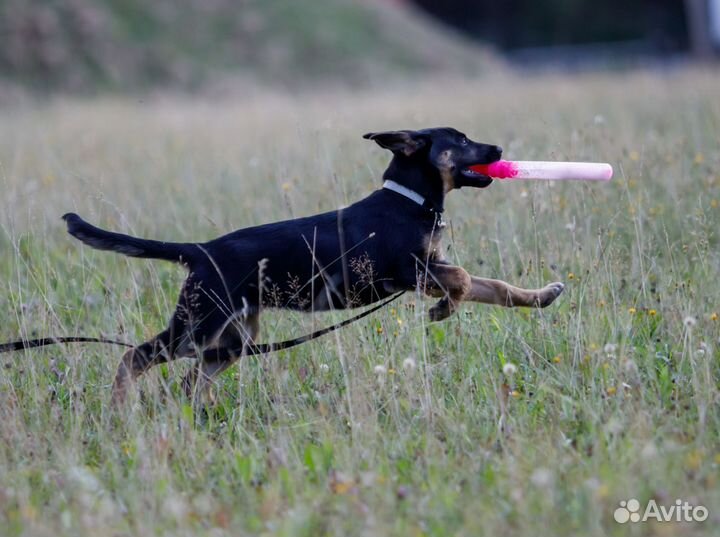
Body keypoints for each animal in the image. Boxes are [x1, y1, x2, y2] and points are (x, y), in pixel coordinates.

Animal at [62, 126, 564, 402]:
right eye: (459, 140)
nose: (499, 150)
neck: (410, 201)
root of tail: (201, 250)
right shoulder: (408, 272)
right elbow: (460, 279)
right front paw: (444, 310)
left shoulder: (429, 269)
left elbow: (492, 286)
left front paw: (539, 297)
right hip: (198, 325)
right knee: (134, 356)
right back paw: (120, 406)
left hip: (232, 338)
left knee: (188, 381)